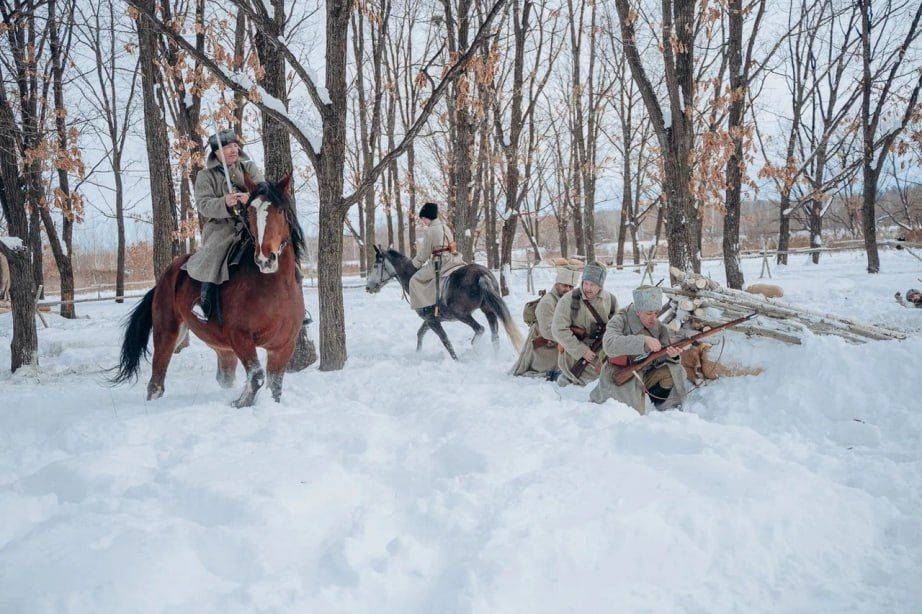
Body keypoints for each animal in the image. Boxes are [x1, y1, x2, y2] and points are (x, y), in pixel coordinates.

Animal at [110, 176, 306, 410]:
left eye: (280, 211)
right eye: (250, 212)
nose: (265, 259)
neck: (274, 289)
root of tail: (165, 277)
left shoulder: (283, 346)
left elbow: (275, 386)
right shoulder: (240, 338)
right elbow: (257, 377)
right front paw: (239, 402)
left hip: (222, 348)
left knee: (224, 376)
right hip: (167, 333)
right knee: (156, 382)